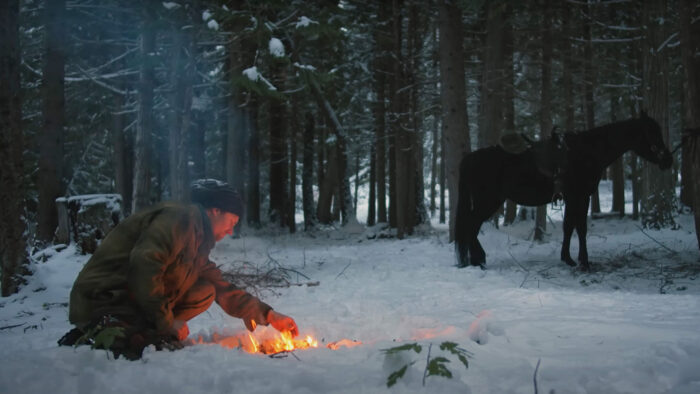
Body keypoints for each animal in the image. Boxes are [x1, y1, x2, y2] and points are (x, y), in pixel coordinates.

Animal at [454, 111, 672, 270]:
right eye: (652, 132)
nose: (668, 159)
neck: (587, 152)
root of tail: (470, 158)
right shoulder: (580, 196)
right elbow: (580, 227)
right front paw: (583, 262)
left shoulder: (572, 198)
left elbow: (569, 226)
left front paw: (568, 258)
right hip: (488, 201)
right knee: (471, 224)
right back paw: (478, 260)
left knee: (471, 226)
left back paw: (475, 260)